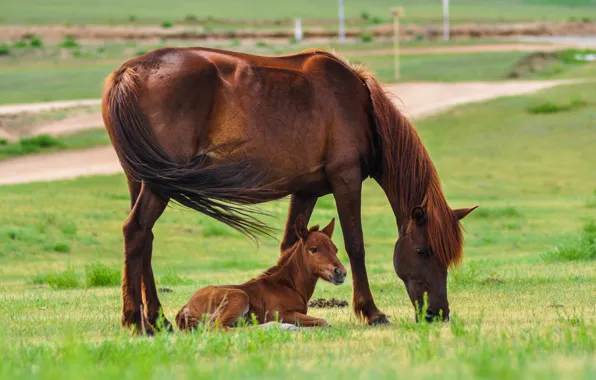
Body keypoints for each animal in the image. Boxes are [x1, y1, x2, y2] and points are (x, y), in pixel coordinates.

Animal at [176, 217, 344, 330]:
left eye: (335, 249)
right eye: (313, 249)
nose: (340, 273)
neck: (288, 285)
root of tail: (187, 306)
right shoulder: (279, 313)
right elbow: (323, 321)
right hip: (239, 297)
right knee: (221, 328)